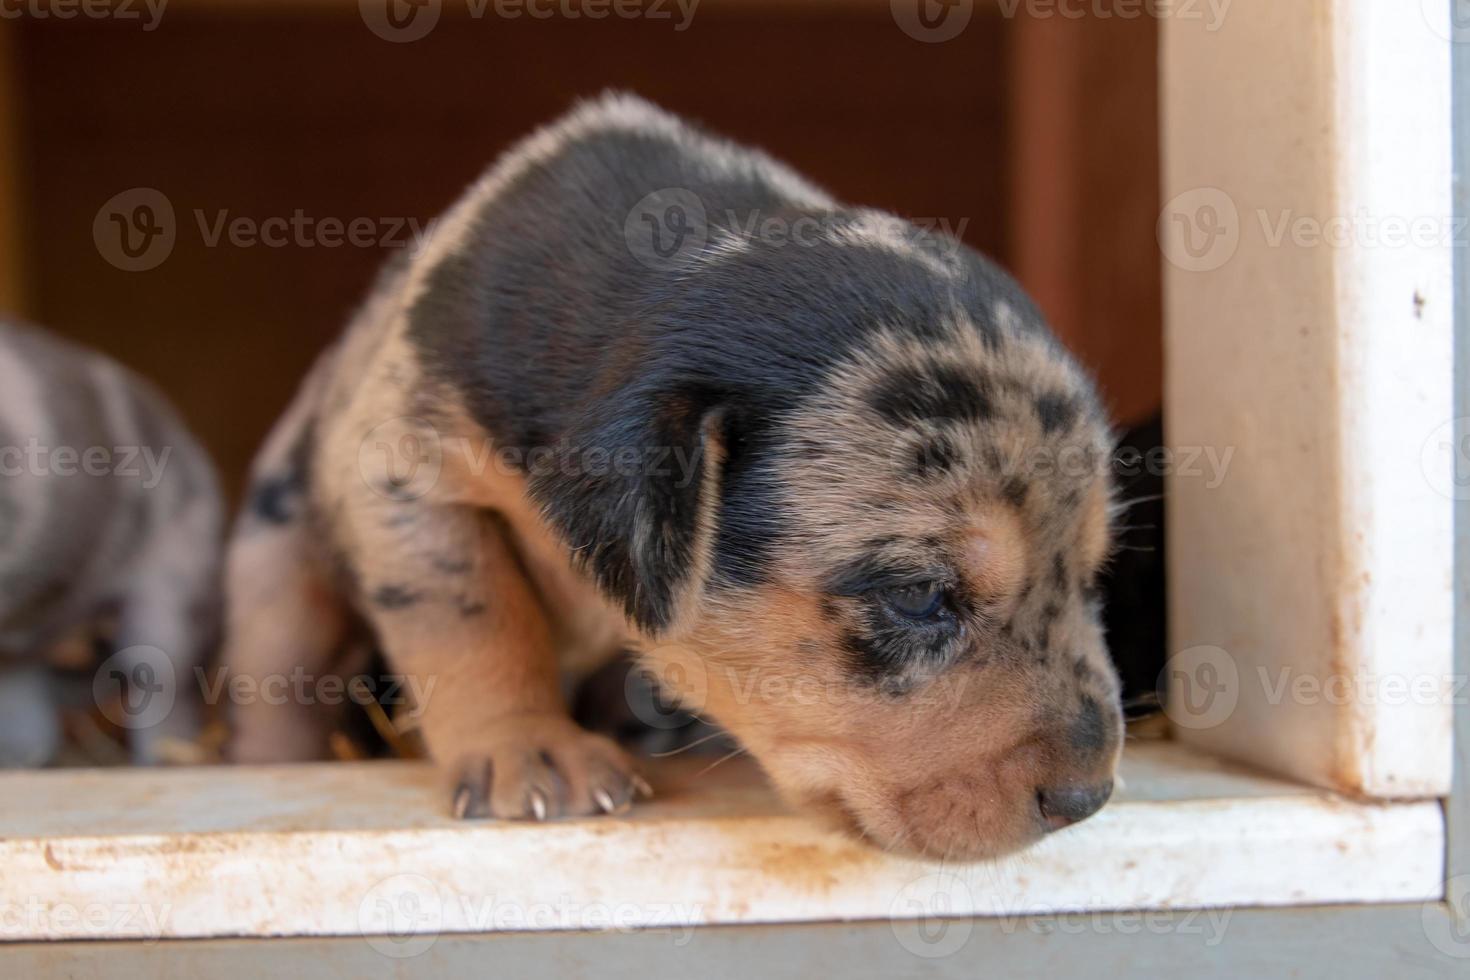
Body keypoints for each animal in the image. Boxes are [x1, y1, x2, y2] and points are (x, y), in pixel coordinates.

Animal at [223, 91, 1117, 858]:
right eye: (918, 595)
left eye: (1089, 575)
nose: (1089, 800)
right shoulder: (408, 474)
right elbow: (476, 621)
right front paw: (532, 752)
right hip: (276, 575)